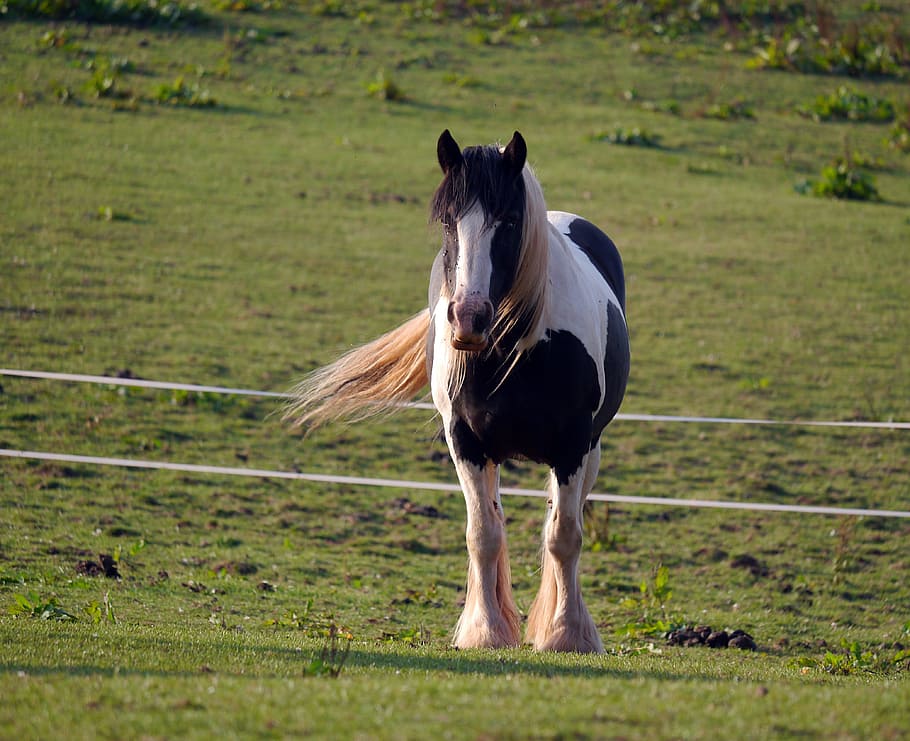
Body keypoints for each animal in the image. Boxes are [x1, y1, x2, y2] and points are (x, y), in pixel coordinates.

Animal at [285, 130, 630, 653]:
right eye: (448, 222)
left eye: (509, 222)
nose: (468, 318)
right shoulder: (466, 442)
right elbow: (483, 535)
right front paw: (485, 631)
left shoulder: (573, 445)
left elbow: (564, 536)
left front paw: (567, 635)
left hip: (590, 450)